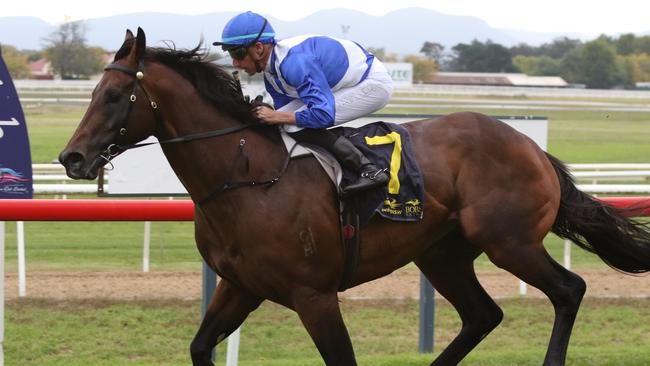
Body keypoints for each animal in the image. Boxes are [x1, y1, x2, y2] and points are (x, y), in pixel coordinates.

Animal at [59, 28, 648, 366]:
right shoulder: (240, 285)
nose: (72, 159)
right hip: (443, 253)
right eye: (91, 91)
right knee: (483, 315)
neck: (245, 177)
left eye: (115, 95)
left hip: (509, 241)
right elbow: (201, 346)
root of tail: (532, 147)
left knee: (569, 290)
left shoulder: (315, 295)